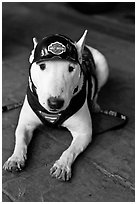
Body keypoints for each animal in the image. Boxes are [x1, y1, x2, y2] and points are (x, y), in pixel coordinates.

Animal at [3, 29, 109, 180]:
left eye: (71, 68)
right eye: (42, 66)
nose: (55, 103)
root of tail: (87, 47)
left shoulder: (84, 133)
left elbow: (70, 150)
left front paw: (62, 166)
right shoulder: (25, 124)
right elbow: (21, 140)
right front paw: (15, 159)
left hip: (104, 66)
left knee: (98, 87)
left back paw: (94, 105)